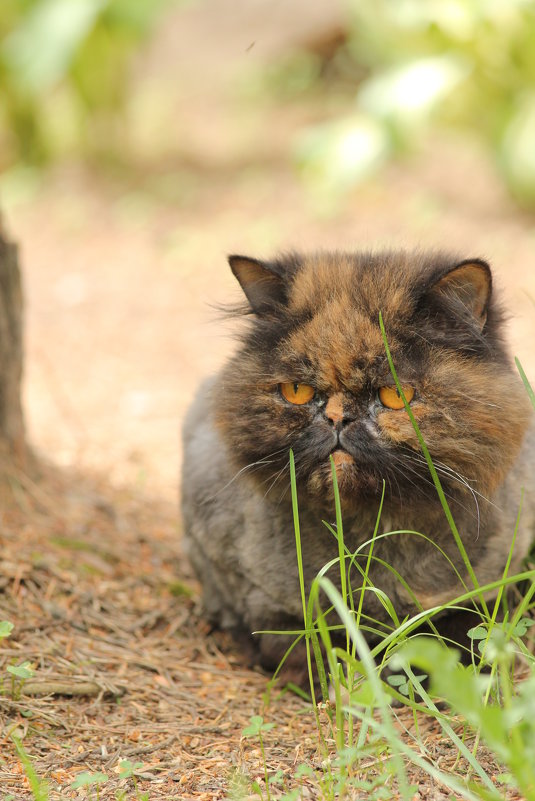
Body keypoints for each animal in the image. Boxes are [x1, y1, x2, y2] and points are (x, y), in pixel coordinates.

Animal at [181, 250, 535, 680]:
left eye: (395, 394)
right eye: (297, 391)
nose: (337, 418)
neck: (368, 544)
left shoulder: (482, 590)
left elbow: (454, 644)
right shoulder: (261, 598)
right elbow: (304, 648)